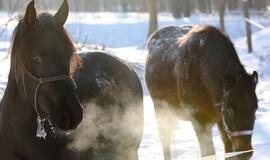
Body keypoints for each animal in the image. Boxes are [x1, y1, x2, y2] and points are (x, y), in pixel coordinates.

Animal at [144, 24, 258, 159]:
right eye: (230, 108)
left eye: (255, 108)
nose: (245, 152)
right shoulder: (199, 120)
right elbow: (208, 153)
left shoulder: (222, 122)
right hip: (161, 110)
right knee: (165, 141)